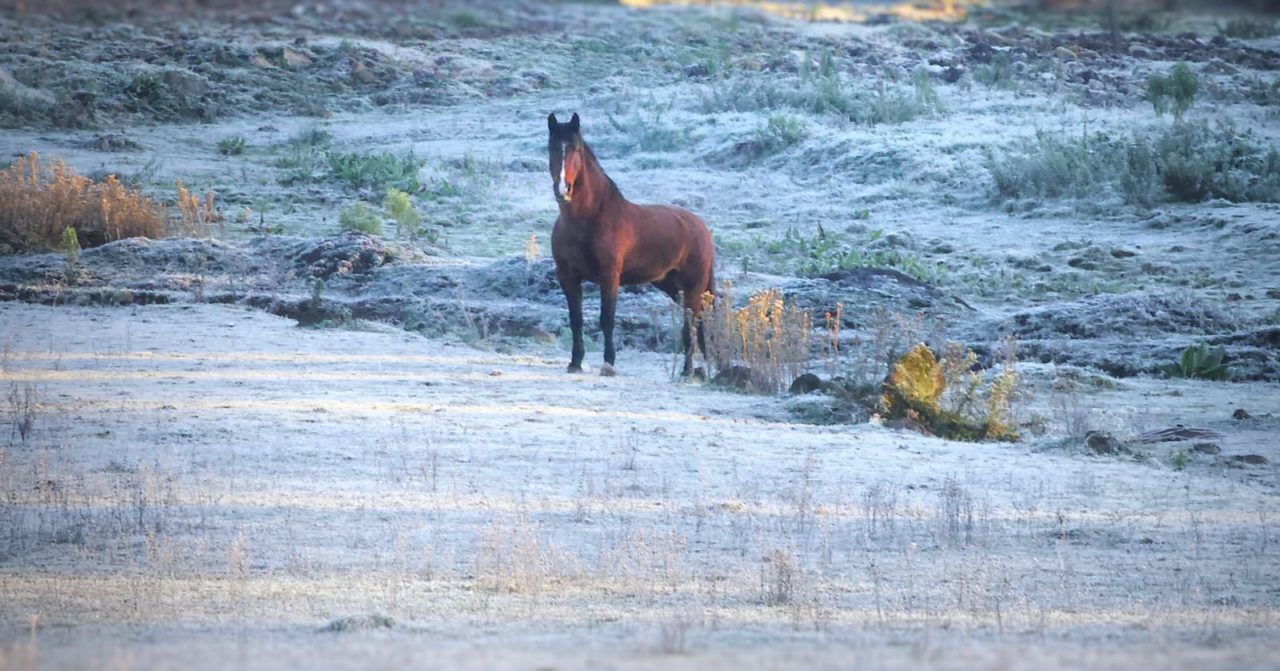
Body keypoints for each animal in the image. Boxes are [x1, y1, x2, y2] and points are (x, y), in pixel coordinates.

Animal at [545, 115, 716, 376]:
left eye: (576, 148)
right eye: (551, 147)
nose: (563, 189)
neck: (590, 219)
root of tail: (701, 228)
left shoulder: (609, 276)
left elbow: (607, 318)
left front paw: (609, 363)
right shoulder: (568, 276)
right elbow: (576, 319)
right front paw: (575, 363)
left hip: (692, 288)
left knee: (692, 322)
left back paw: (687, 371)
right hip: (671, 286)